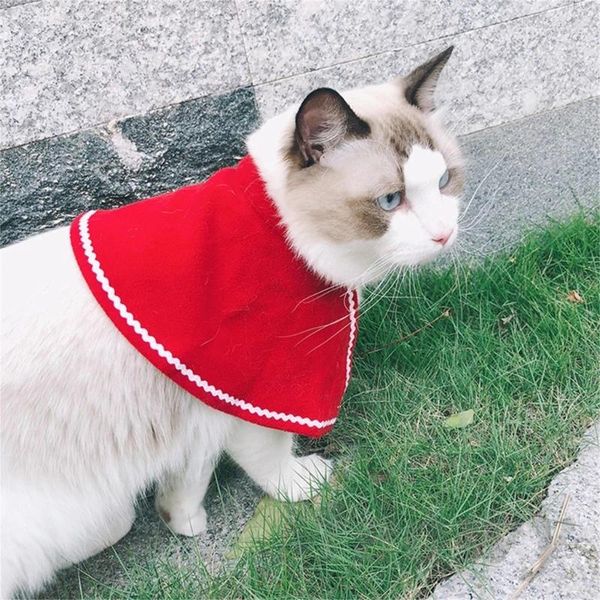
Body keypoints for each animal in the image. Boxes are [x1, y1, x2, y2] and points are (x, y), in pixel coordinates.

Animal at [0, 45, 464, 596]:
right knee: (101, 524)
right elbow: (269, 457)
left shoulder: (204, 395)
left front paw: (180, 521)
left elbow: (190, 473)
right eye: (390, 201)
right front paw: (301, 484)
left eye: (444, 182)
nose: (445, 235)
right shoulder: (255, 388)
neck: (278, 231)